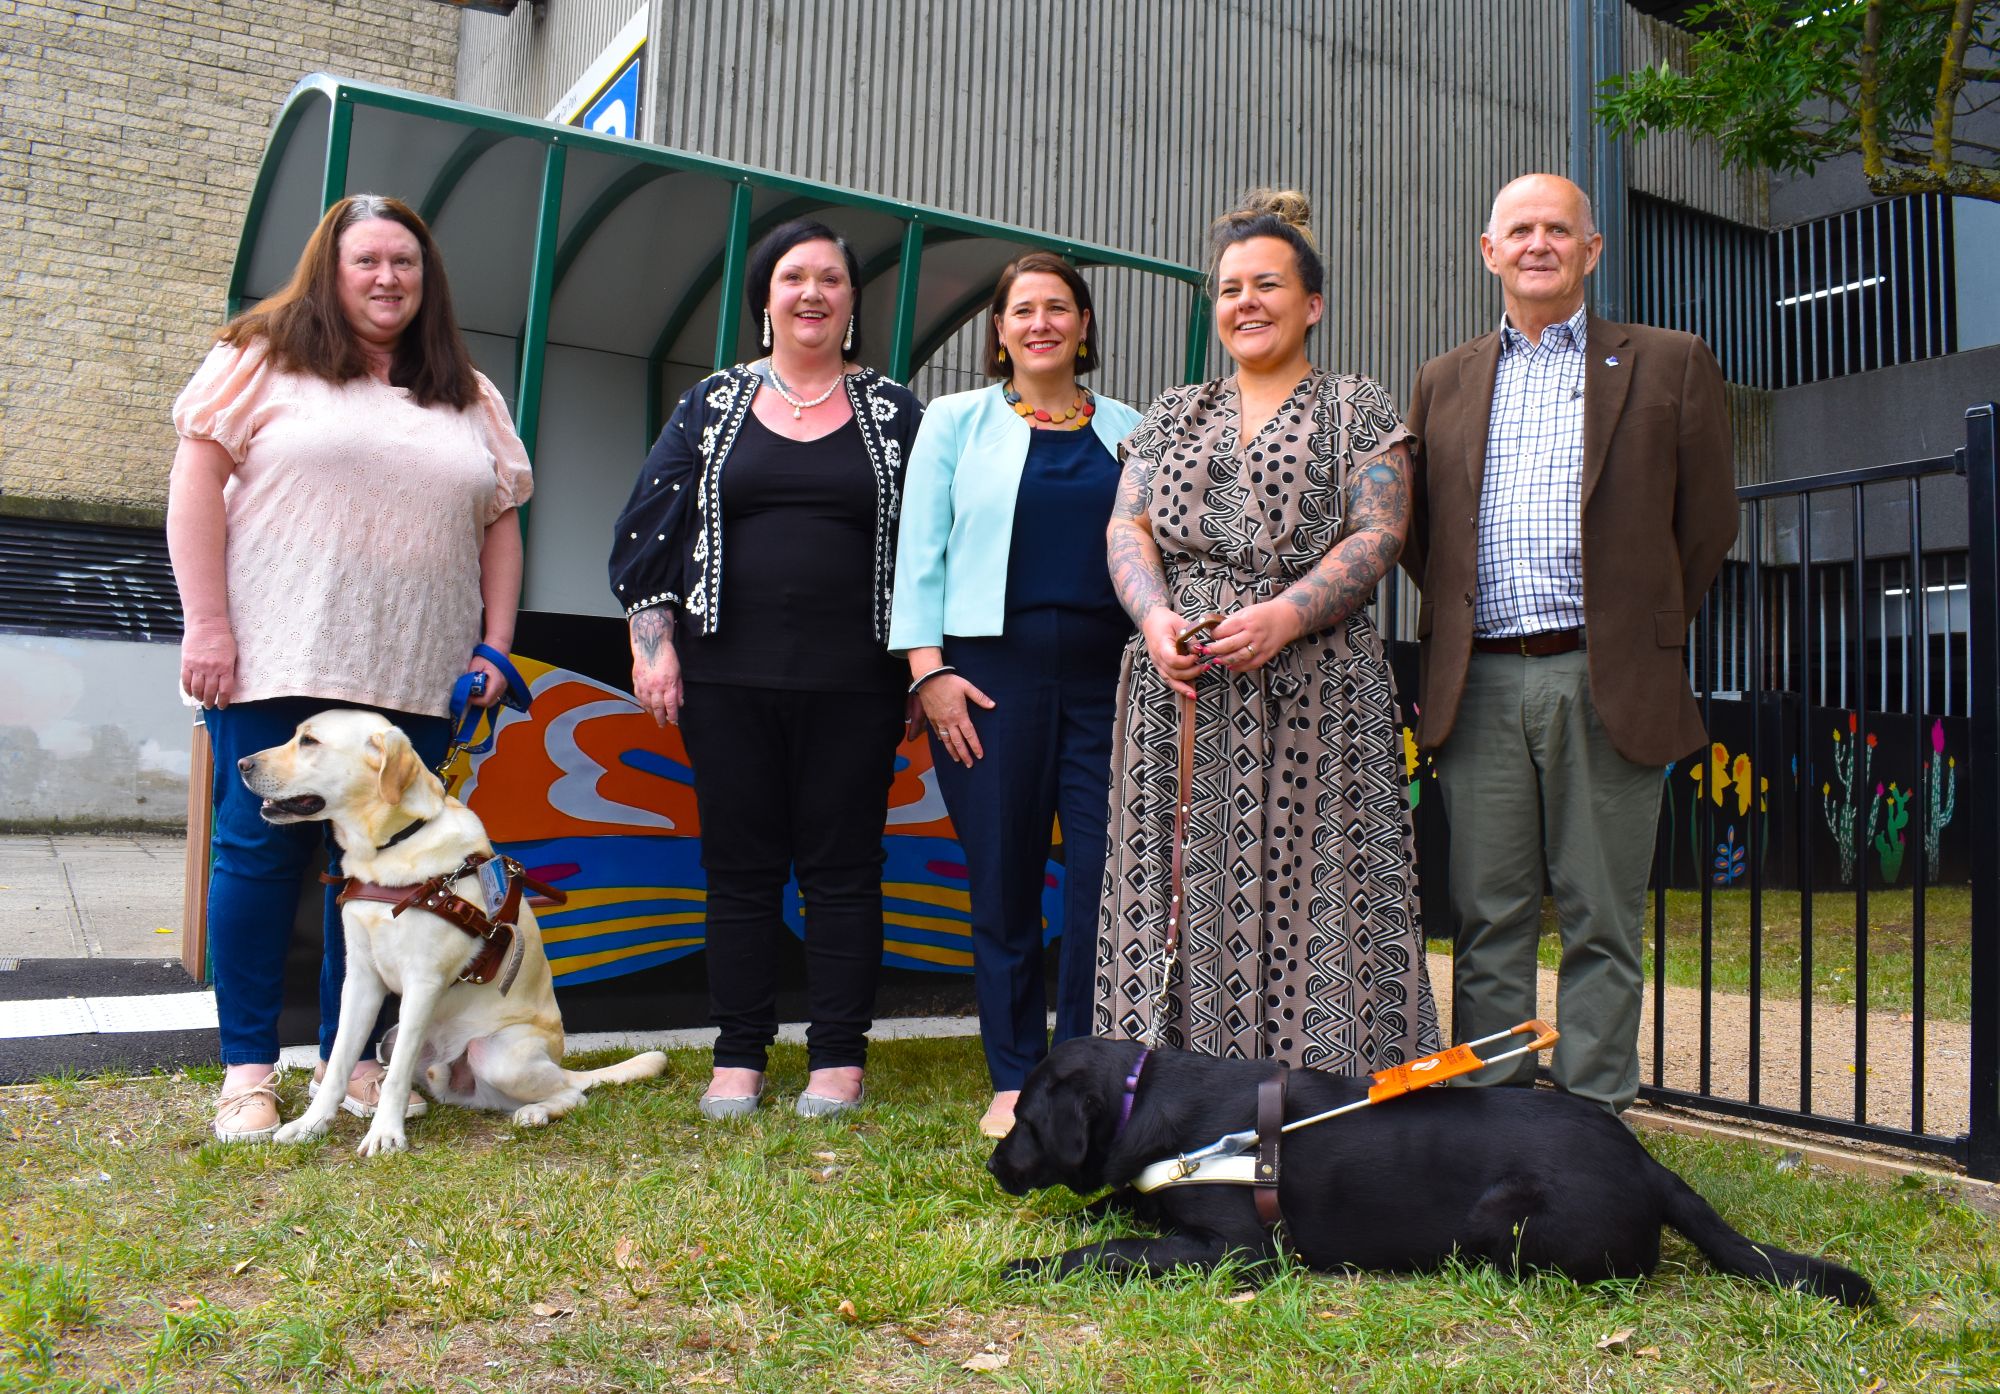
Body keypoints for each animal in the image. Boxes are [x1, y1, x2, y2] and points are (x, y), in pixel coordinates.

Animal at [238, 708, 668, 1152]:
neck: (389, 848)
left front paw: (386, 1133)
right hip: (392, 1036)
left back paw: (535, 1112)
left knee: (573, 1094)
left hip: (498, 1055)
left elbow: (394, 1078)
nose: (242, 764)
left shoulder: (423, 982)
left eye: (310, 741)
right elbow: (340, 1061)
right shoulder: (361, 978)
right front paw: (311, 1124)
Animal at [996, 1032, 1872, 1304]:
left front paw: (1031, 1265)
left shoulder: (1238, 1252)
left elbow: (1116, 1251)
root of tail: (1649, 1164)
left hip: (1504, 1220)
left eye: (1025, 1122)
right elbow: (1119, 1213)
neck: (1145, 1099)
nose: (994, 1164)